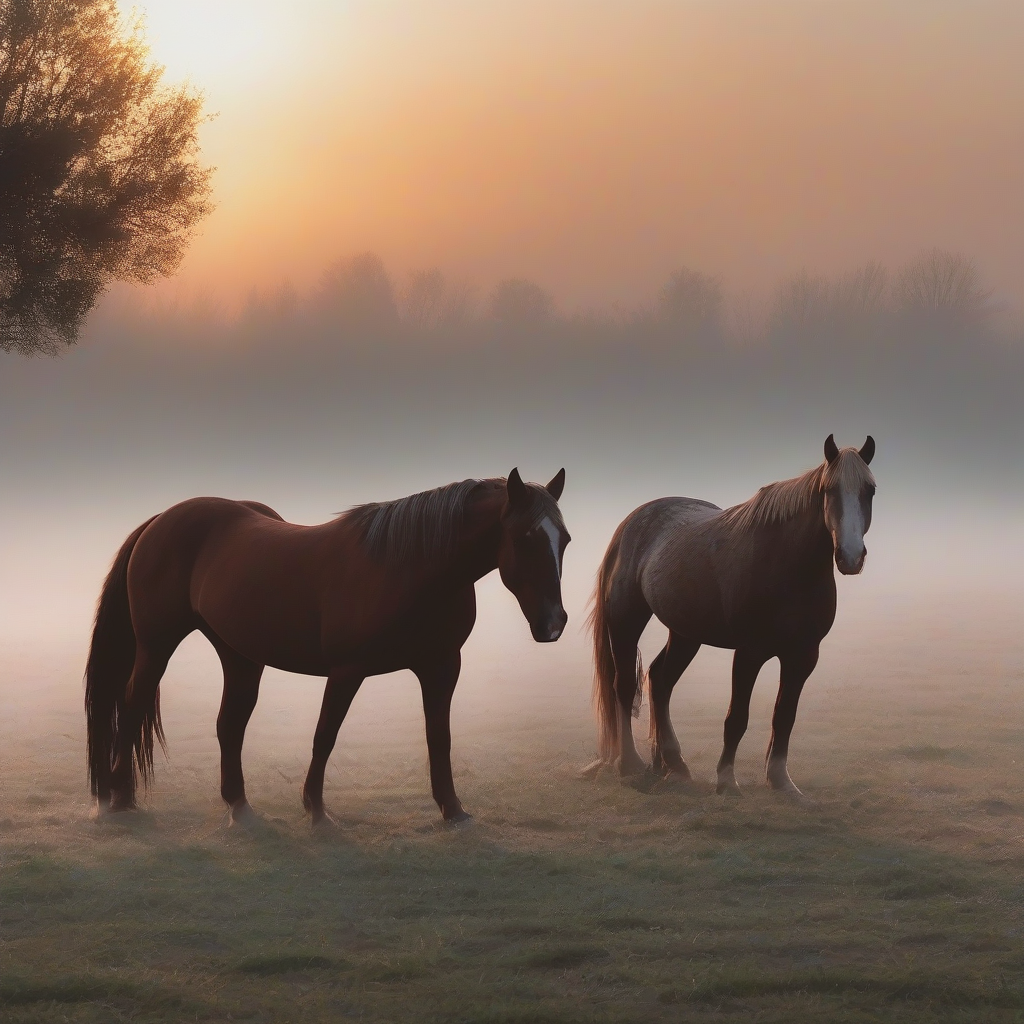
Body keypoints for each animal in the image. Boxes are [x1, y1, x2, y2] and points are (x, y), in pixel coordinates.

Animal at [86, 468, 569, 823]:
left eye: (564, 540)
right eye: (525, 537)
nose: (553, 624)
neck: (408, 569)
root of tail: (160, 520)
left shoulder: (442, 666)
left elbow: (439, 736)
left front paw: (453, 809)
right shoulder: (347, 670)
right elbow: (326, 735)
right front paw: (315, 808)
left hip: (239, 655)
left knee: (229, 724)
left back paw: (238, 805)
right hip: (156, 645)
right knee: (133, 705)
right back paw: (118, 797)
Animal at [593, 436, 872, 794]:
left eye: (870, 490)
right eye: (829, 490)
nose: (850, 556)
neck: (789, 565)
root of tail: (631, 522)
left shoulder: (803, 656)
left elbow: (784, 717)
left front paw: (781, 782)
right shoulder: (749, 653)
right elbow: (737, 717)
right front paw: (726, 780)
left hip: (685, 634)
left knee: (659, 680)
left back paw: (672, 763)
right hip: (626, 622)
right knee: (626, 685)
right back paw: (631, 763)